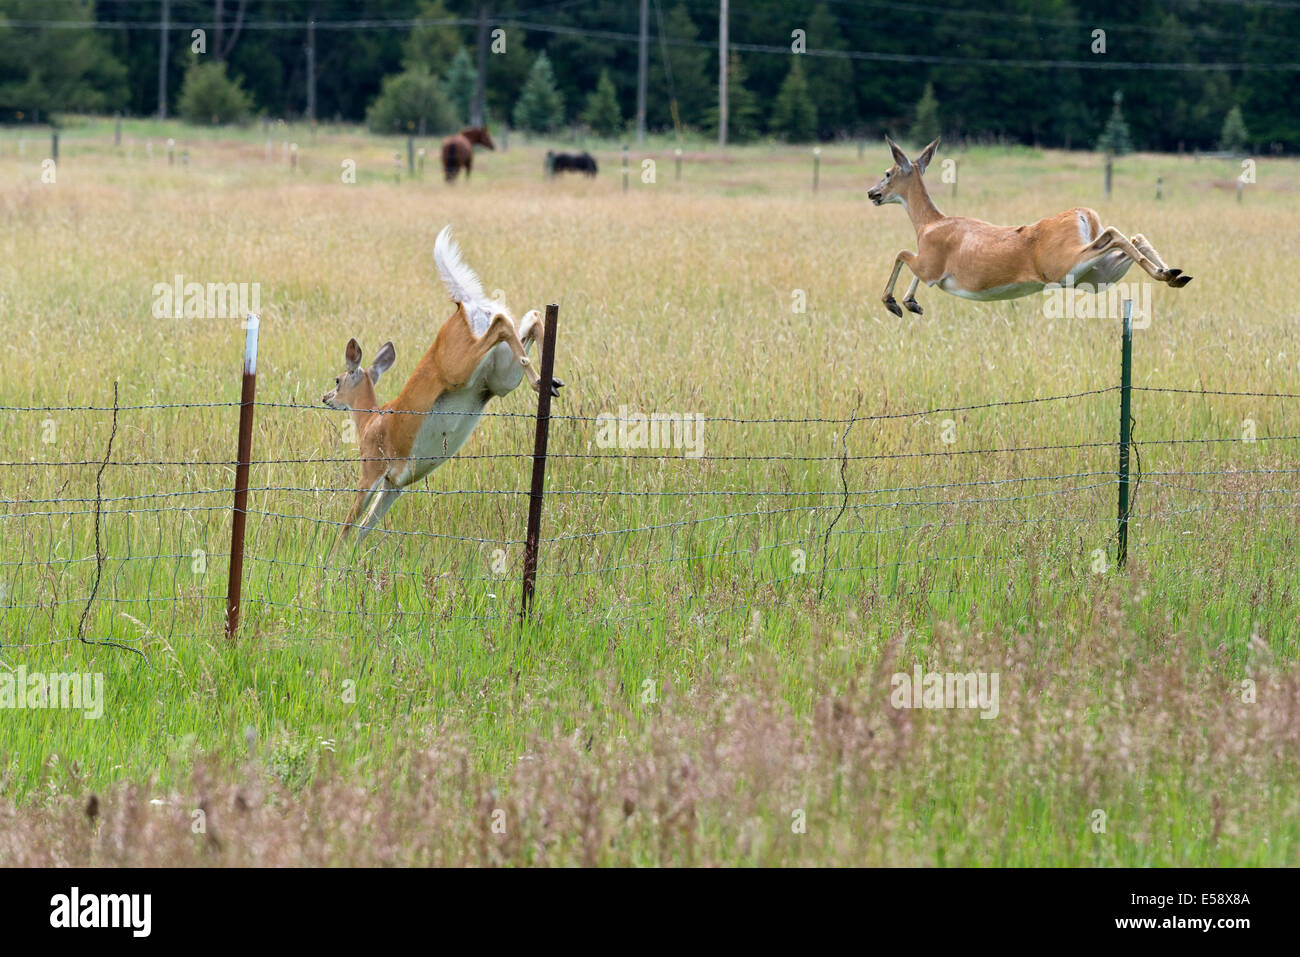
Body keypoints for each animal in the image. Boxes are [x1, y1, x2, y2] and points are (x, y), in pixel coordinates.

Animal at [321, 225, 562, 547]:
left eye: (338, 380)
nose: (326, 397)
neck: (369, 420)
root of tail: (463, 305)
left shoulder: (372, 470)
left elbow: (348, 524)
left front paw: (333, 554)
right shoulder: (394, 485)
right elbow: (365, 527)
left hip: (461, 367)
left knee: (502, 322)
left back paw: (541, 379)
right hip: (499, 376)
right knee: (529, 318)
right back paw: (548, 381)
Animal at [867, 136, 1191, 317]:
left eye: (887, 172)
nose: (872, 193)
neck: (928, 224)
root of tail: (1084, 214)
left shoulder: (931, 264)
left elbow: (901, 254)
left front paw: (894, 303)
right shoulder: (928, 264)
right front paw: (911, 303)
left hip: (1063, 265)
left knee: (1115, 233)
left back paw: (1168, 273)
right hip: (1095, 277)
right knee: (1133, 237)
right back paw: (1172, 273)